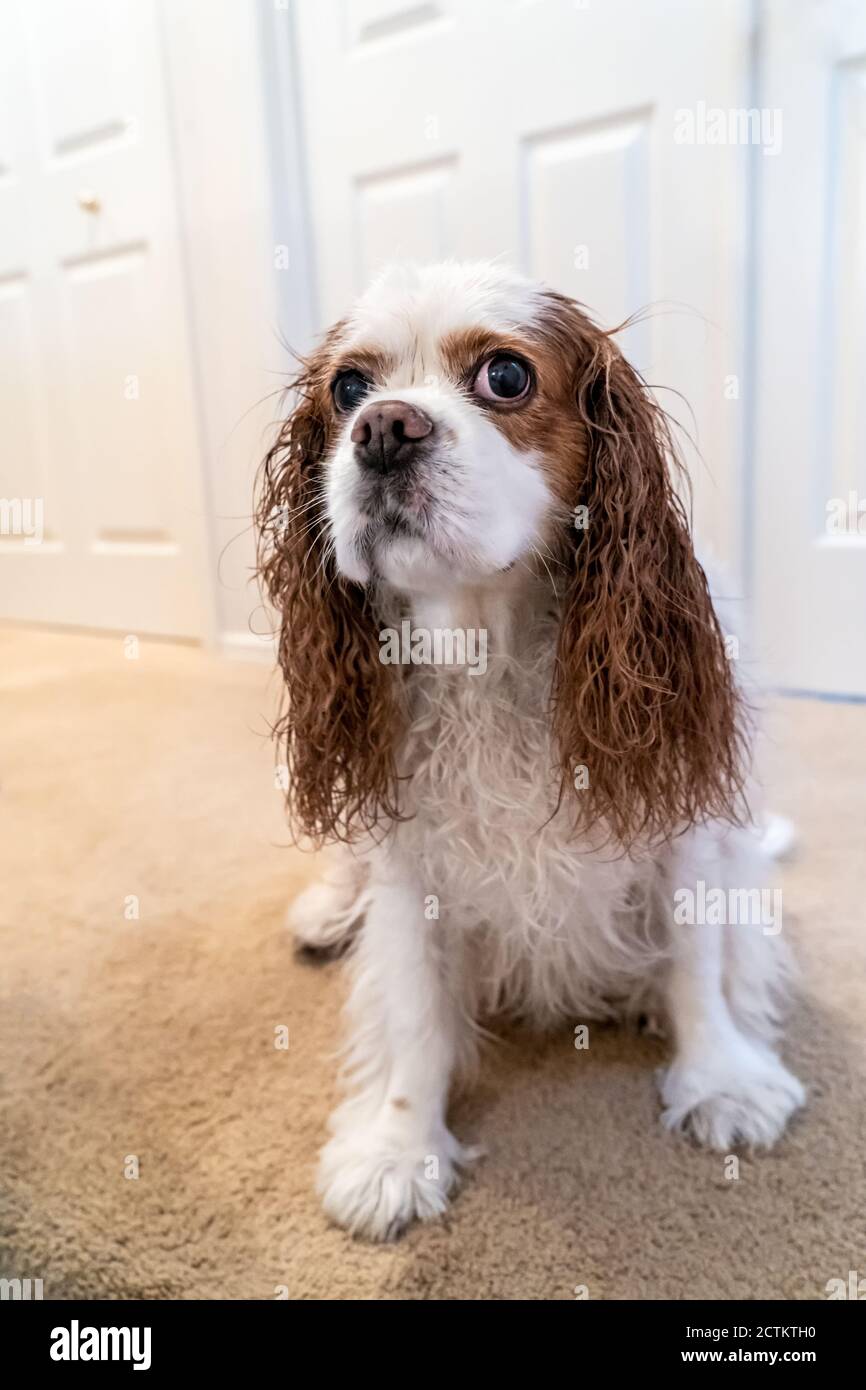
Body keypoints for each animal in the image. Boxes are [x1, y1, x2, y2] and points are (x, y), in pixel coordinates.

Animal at [257, 265, 806, 1245]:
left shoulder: (685, 823)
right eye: (348, 389)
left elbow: (698, 962)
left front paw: (721, 1079)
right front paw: (397, 1151)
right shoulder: (411, 859)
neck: (487, 648)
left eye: (506, 376)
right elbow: (412, 1013)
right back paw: (328, 911)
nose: (383, 428)